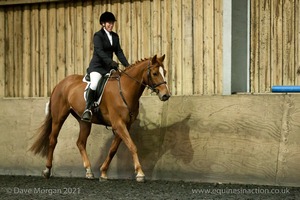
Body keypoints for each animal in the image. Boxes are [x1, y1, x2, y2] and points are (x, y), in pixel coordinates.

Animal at [31, 54, 171, 181]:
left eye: (164, 72)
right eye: (154, 73)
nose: (166, 95)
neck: (124, 89)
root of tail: (60, 83)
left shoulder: (124, 125)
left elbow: (113, 149)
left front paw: (103, 173)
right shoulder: (118, 124)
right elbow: (132, 146)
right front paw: (140, 173)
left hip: (84, 121)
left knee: (80, 142)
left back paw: (89, 171)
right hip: (58, 117)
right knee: (52, 140)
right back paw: (47, 170)